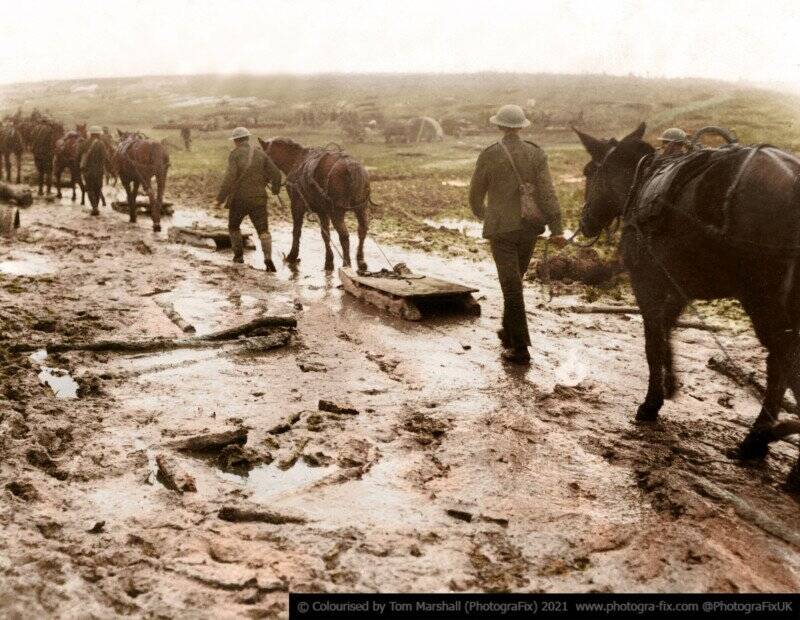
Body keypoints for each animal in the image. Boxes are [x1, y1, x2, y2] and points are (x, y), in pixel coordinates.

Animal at [260, 138, 376, 272]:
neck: (296, 161)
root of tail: (351, 167)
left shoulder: (297, 206)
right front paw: (329, 261)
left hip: (337, 213)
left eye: (265, 156)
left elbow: (296, 231)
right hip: (361, 209)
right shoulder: (322, 211)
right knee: (362, 231)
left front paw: (292, 256)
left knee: (344, 235)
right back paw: (361, 261)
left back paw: (346, 264)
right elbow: (325, 234)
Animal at [580, 122, 800, 490]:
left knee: (782, 365)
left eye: (588, 172)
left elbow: (653, 342)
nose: (584, 222)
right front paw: (670, 383)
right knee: (784, 365)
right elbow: (668, 329)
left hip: (764, 303)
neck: (641, 185)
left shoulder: (648, 283)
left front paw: (651, 403)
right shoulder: (679, 287)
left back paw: (761, 443)